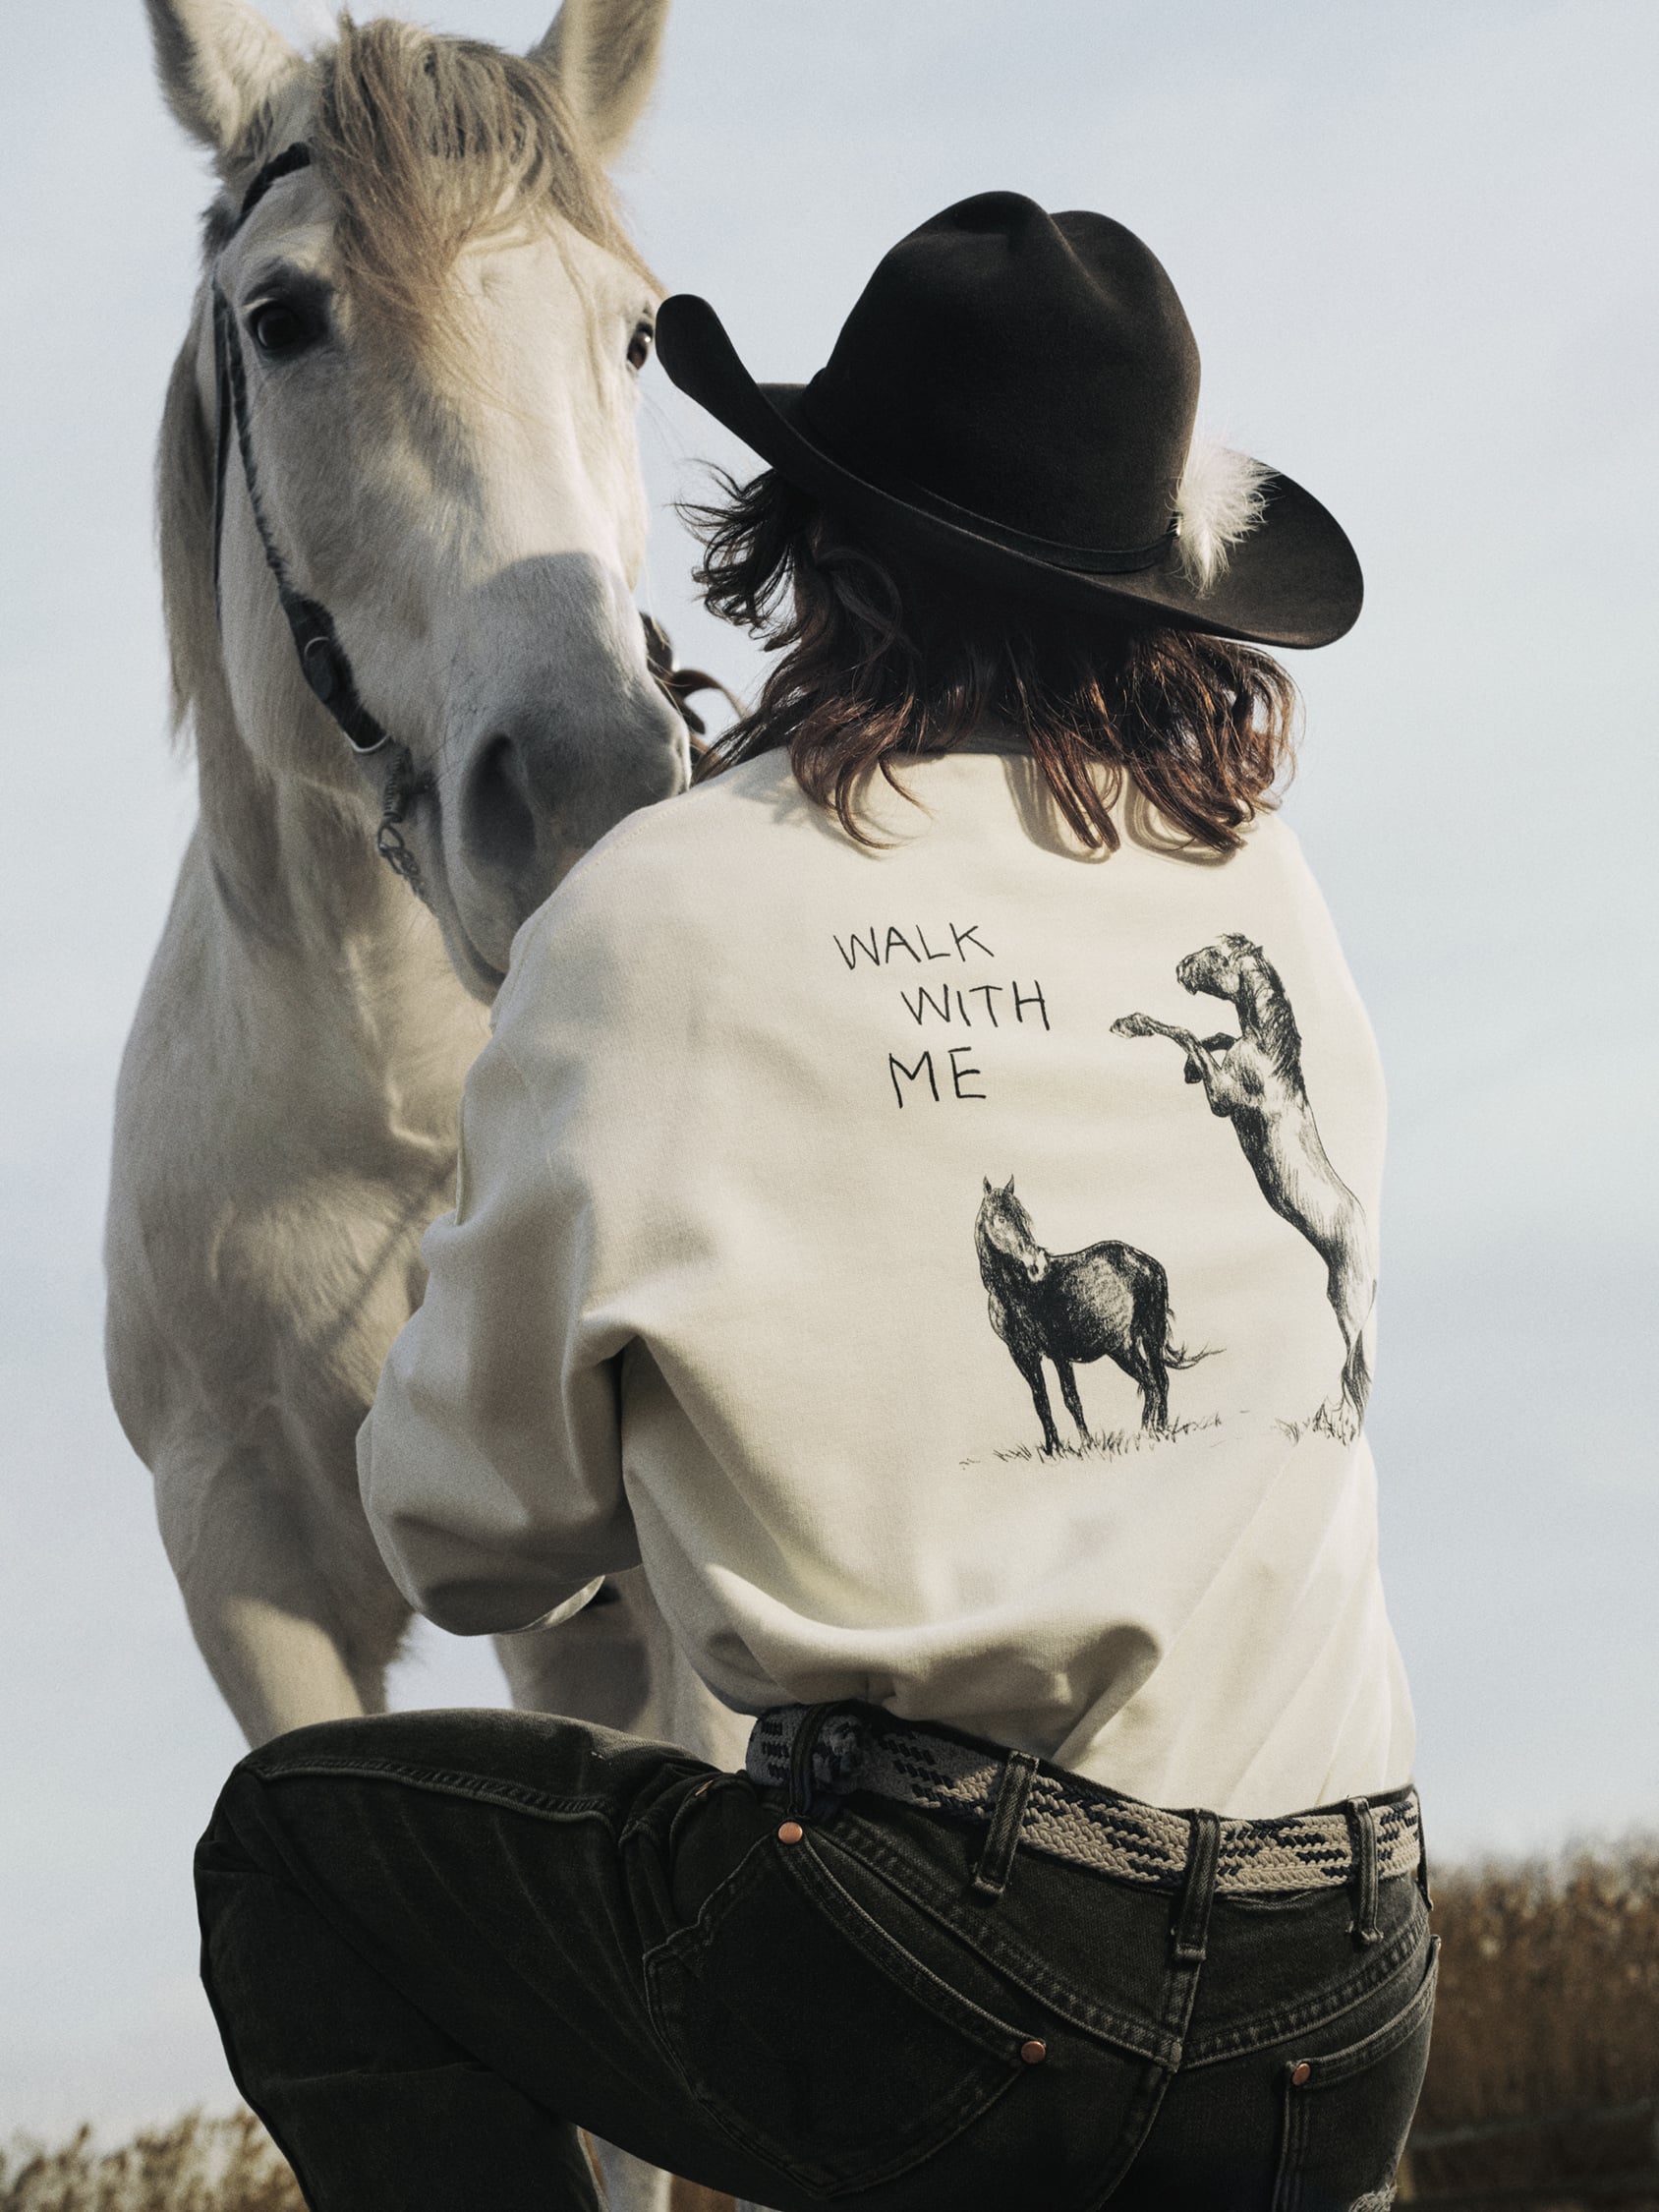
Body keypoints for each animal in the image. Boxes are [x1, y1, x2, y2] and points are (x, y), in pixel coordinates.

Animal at [975, 1179, 1202, 1448]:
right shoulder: (1022, 1355)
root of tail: (1146, 1263)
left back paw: (1147, 1432)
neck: (1018, 1291)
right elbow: (1041, 1403)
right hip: (1145, 1340)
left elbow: (1071, 1398)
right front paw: (1053, 1449)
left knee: (1151, 1383)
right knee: (1160, 1381)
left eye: (1024, 1218)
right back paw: (1160, 1429)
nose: (1038, 1264)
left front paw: (1086, 1444)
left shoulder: (1058, 1352)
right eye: (1000, 1218)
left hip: (1128, 1345)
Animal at [1112, 932, 1376, 1422]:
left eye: (1217, 956)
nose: (1181, 967)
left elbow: (1184, 1032)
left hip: (1348, 1308)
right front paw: (1187, 1066)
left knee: (1353, 1371)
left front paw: (1131, 1024)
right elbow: (1212, 1037)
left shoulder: (1222, 1100)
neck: (1268, 1051)